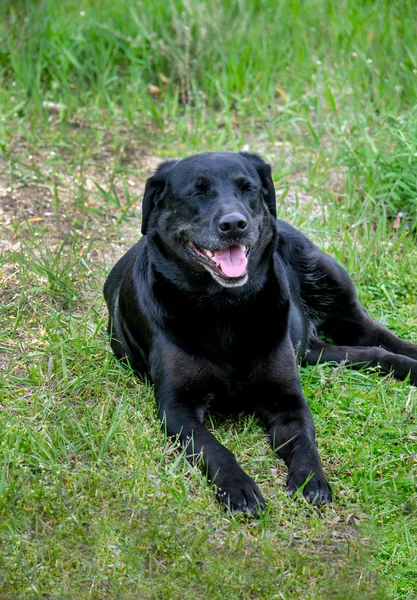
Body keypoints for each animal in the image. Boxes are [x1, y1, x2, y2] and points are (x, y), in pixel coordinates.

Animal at [103, 150, 416, 516]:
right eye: (197, 192)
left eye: (247, 187)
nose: (234, 225)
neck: (226, 308)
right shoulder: (177, 409)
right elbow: (212, 447)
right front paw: (238, 486)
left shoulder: (288, 399)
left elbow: (305, 443)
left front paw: (311, 481)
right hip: (310, 349)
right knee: (367, 354)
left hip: (327, 279)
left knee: (375, 336)